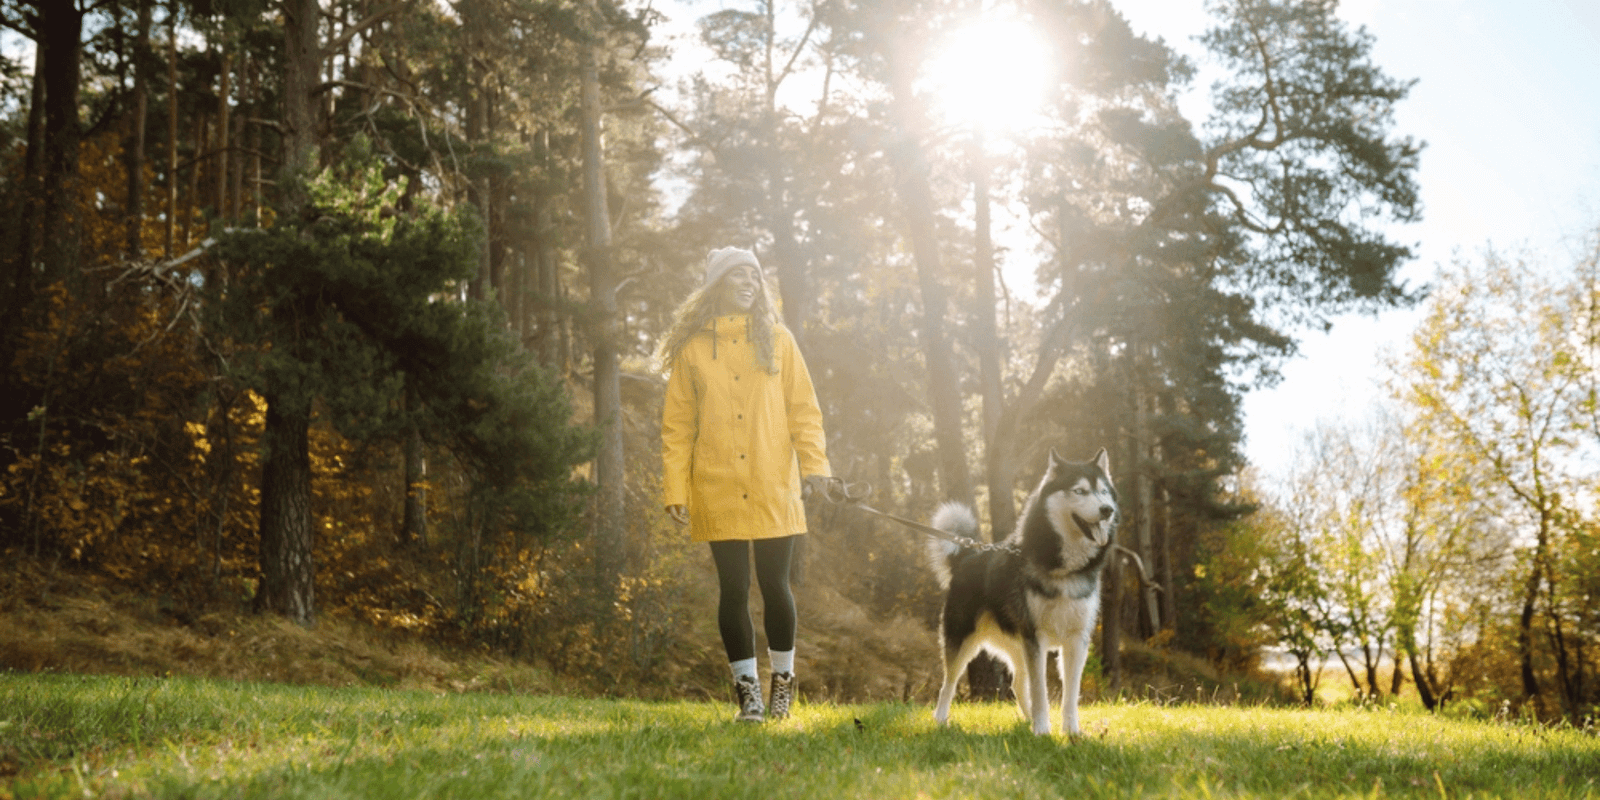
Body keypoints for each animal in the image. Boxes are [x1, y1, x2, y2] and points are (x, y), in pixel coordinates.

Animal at [934, 448, 1120, 732]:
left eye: (1103, 491)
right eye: (1079, 491)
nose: (1107, 510)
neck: (1063, 569)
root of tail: (966, 555)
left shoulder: (1076, 640)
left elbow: (1071, 693)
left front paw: (1071, 731)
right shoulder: (1036, 638)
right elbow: (1040, 689)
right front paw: (1042, 730)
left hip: (1016, 643)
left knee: (1017, 683)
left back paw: (1028, 717)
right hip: (963, 639)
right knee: (949, 683)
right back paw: (941, 719)